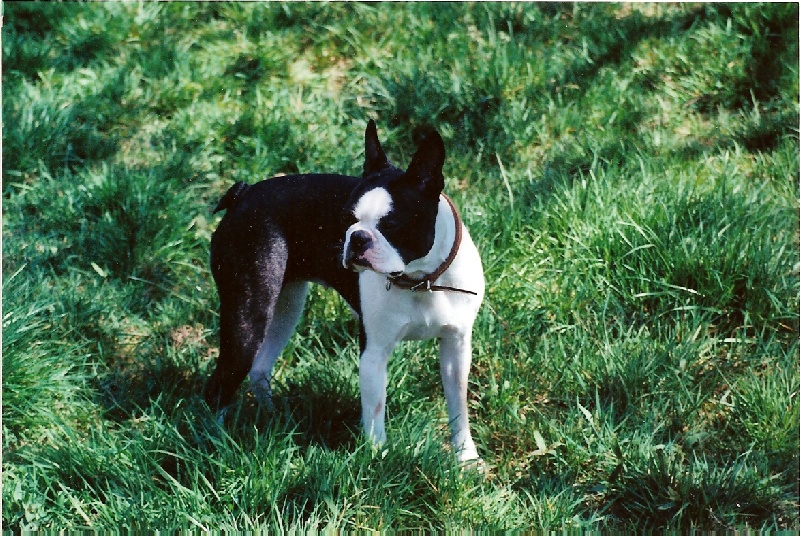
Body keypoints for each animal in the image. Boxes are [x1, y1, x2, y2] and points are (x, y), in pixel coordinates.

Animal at [204, 120, 484, 462]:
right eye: (346, 218)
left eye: (392, 224)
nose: (358, 237)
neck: (421, 279)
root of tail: (243, 194)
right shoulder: (374, 353)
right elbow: (375, 414)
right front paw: (378, 459)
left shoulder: (456, 347)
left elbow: (459, 406)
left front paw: (466, 458)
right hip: (248, 316)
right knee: (219, 386)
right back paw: (215, 442)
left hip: (286, 308)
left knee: (259, 368)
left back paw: (273, 417)